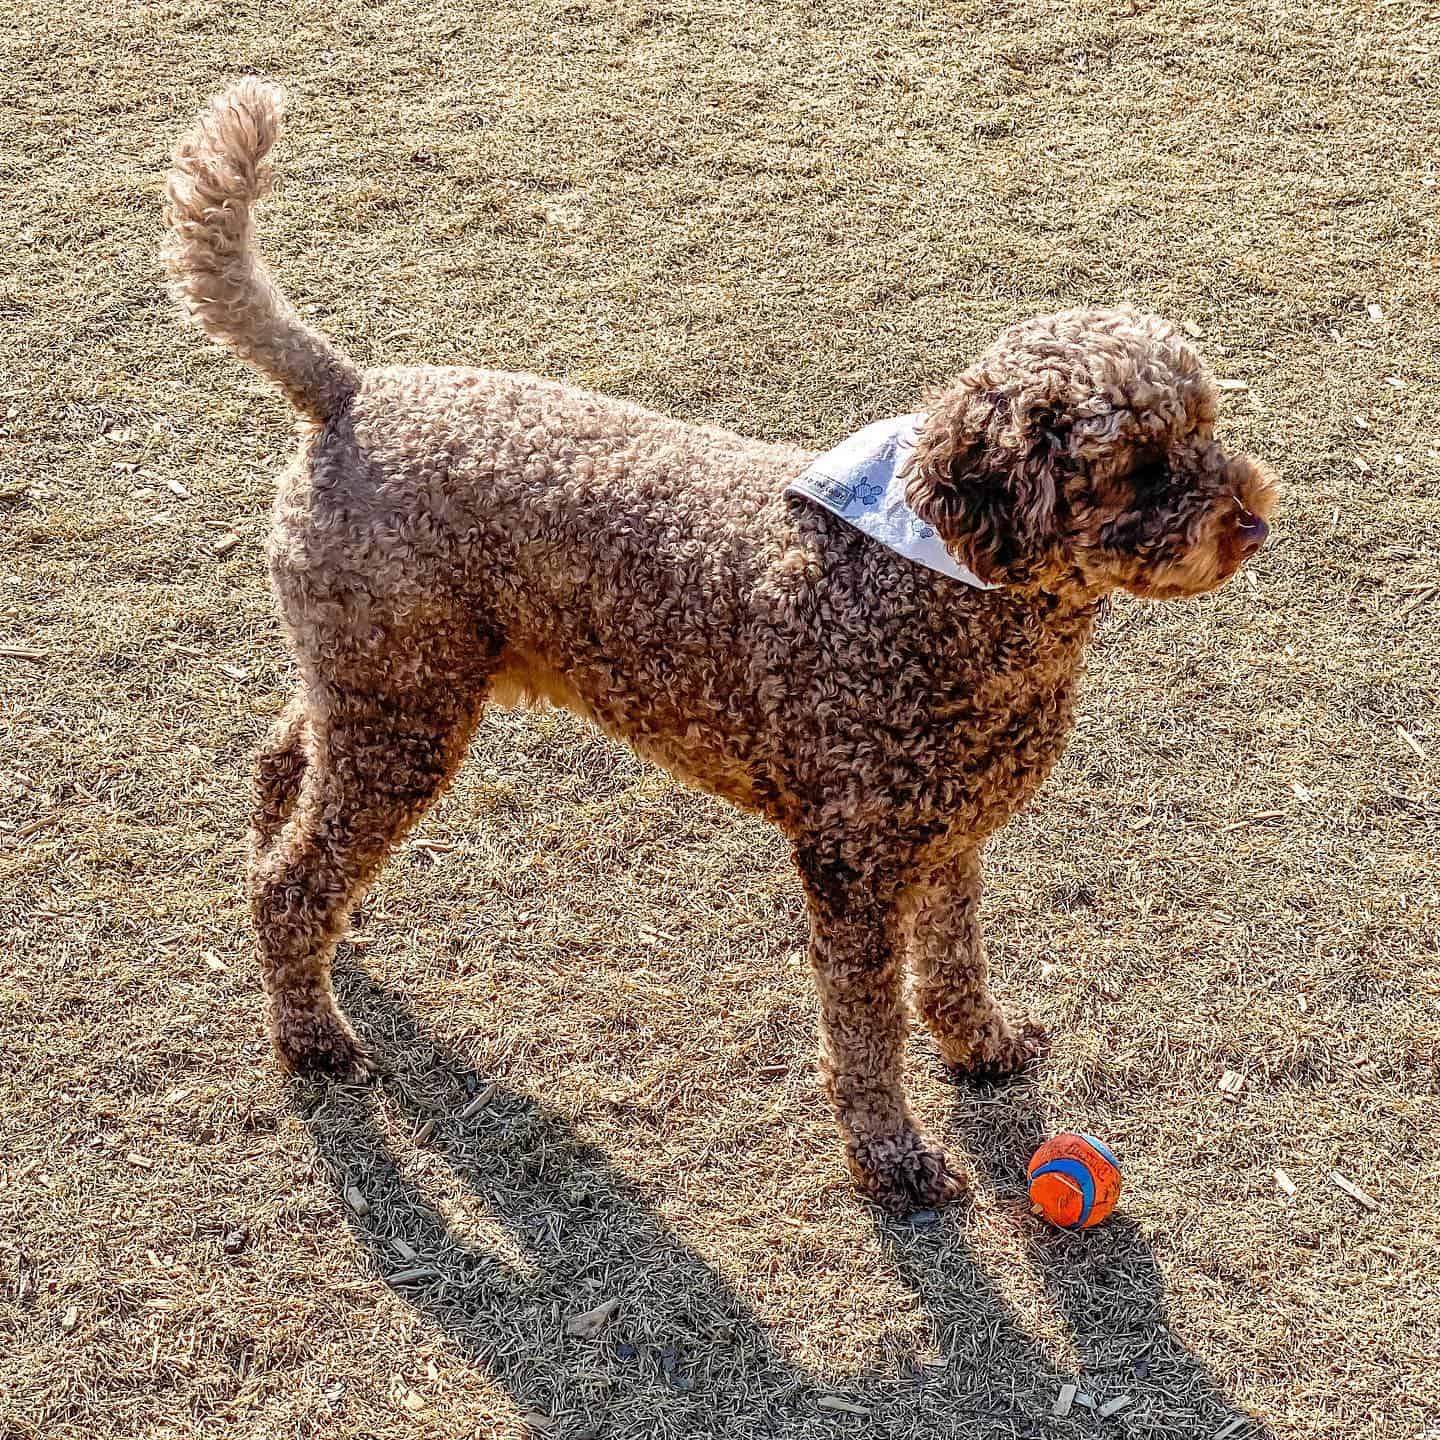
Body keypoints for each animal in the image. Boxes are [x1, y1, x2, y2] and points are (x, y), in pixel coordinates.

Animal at [163, 81, 1278, 1215]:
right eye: (1140, 468)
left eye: (1204, 427)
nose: (1250, 520)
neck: (942, 583)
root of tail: (349, 389)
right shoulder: (852, 861)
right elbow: (864, 1028)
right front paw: (893, 1157)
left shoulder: (947, 832)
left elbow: (955, 961)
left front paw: (981, 1047)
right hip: (405, 712)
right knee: (293, 882)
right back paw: (310, 1032)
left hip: (375, 672)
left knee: (283, 761)